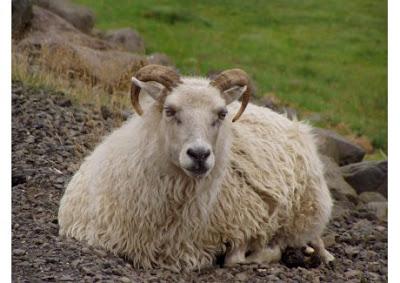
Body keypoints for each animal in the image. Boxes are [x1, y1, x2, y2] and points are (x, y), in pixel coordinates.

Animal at [58, 63, 334, 270]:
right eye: (169, 110)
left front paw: (265, 252)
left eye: (222, 113)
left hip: (308, 212)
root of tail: (293, 123)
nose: (199, 154)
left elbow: (237, 257)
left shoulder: (245, 224)